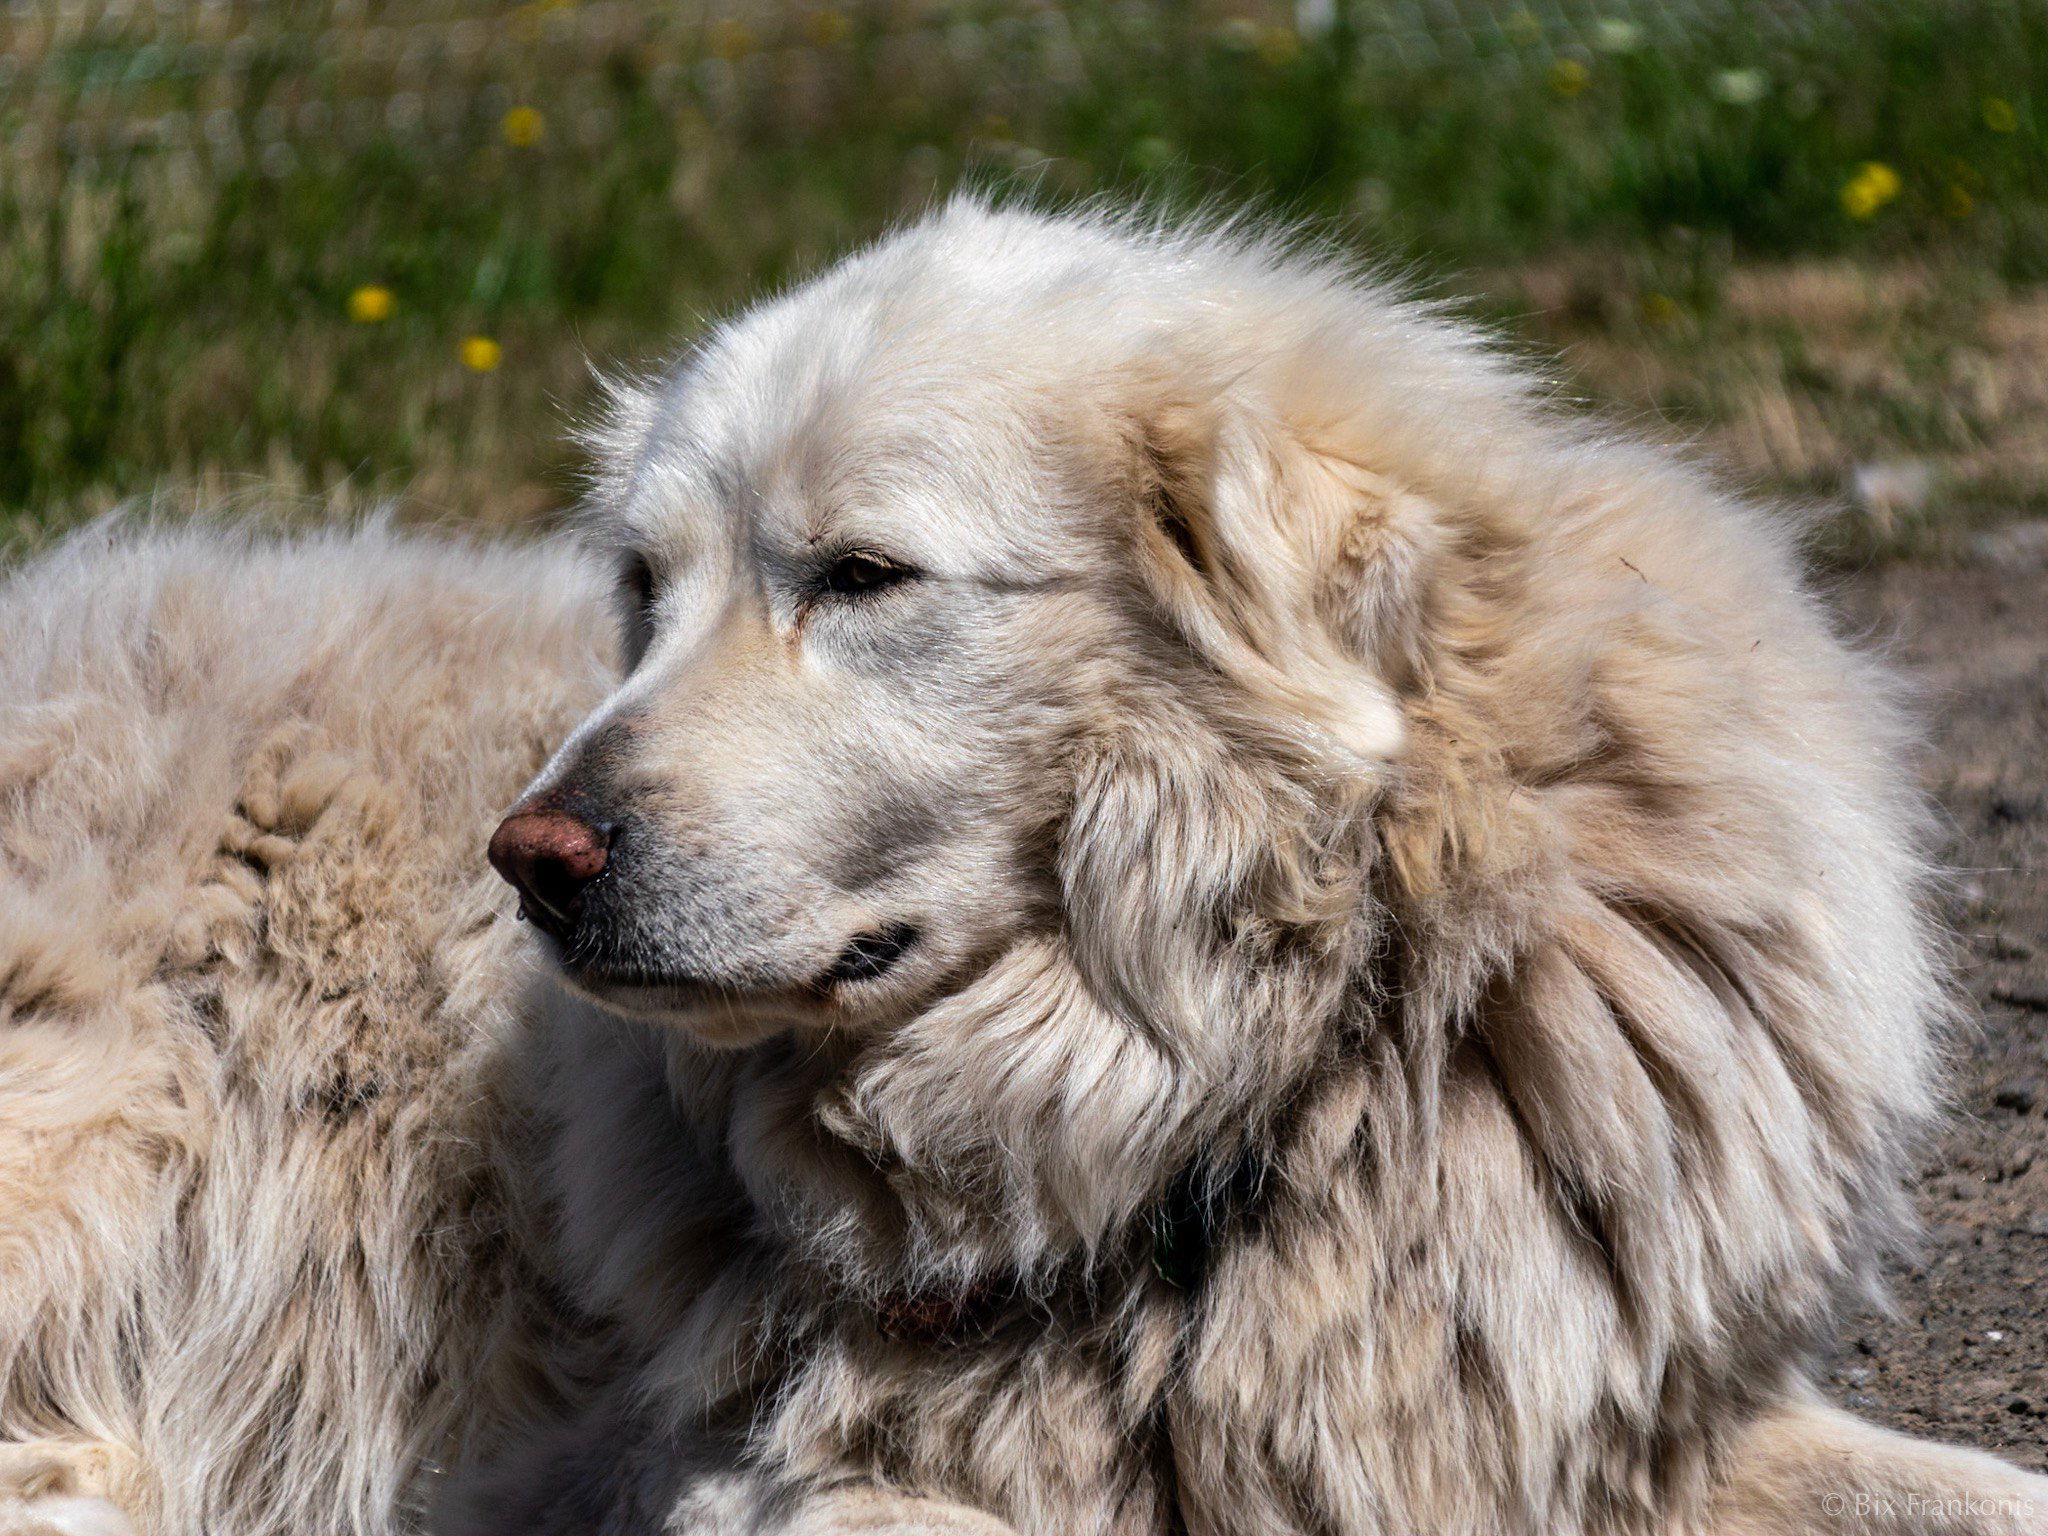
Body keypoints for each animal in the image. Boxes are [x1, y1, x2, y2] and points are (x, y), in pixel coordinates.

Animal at [4, 204, 2048, 1536]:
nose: (528, 857)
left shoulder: (1575, 1431)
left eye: (859, 576)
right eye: (645, 591)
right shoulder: (754, 1478)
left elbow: (1969, 1490)